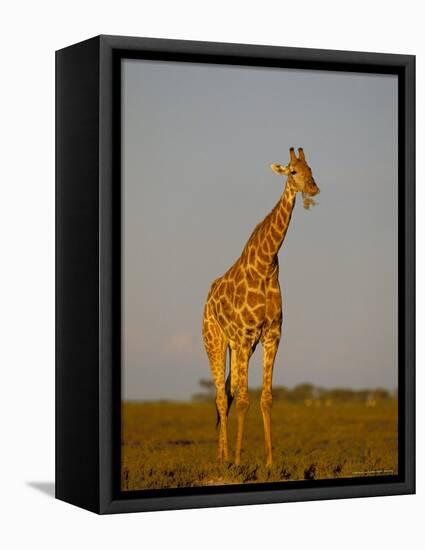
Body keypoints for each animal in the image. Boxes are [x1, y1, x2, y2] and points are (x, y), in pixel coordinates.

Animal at [202, 147, 318, 466]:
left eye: (312, 169)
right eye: (293, 171)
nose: (313, 188)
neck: (266, 265)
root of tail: (207, 299)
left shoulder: (271, 334)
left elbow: (265, 398)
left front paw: (269, 462)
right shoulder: (245, 335)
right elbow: (244, 400)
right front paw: (239, 462)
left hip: (240, 346)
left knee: (226, 393)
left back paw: (221, 455)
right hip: (215, 341)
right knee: (221, 395)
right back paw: (224, 459)